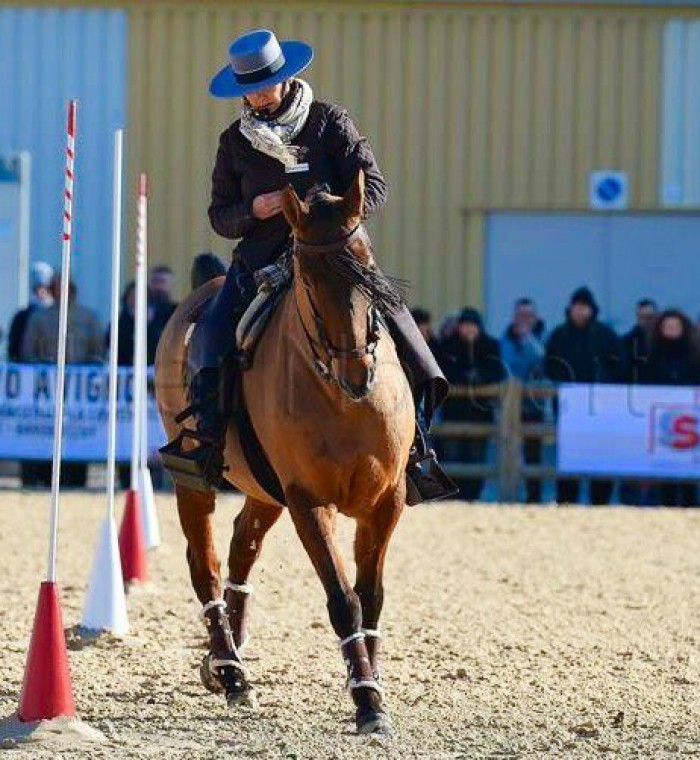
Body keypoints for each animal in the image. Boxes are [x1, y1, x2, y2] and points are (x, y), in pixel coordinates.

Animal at [154, 171, 416, 732]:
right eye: (309, 280)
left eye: (367, 265)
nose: (356, 371)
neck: (345, 402)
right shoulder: (307, 501)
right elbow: (343, 598)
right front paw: (365, 698)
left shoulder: (387, 501)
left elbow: (372, 596)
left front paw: (373, 682)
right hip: (195, 479)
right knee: (206, 562)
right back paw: (230, 669)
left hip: (263, 490)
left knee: (242, 547)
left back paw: (227, 655)